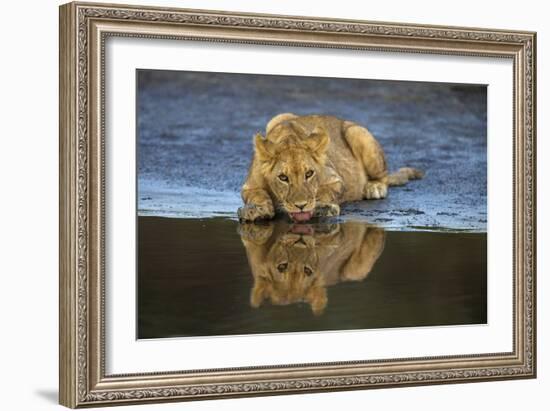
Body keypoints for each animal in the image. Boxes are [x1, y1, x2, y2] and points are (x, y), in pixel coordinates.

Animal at [239, 112, 424, 222]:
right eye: (283, 177)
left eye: (309, 173)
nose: (301, 206)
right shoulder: (249, 186)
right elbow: (258, 195)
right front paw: (256, 210)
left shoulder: (335, 179)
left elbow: (325, 192)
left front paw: (322, 207)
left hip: (357, 132)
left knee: (383, 177)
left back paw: (374, 187)